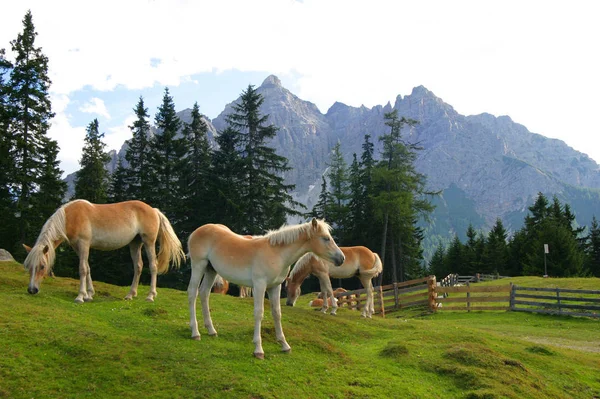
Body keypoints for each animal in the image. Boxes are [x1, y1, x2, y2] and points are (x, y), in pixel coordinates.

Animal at [22, 200, 185, 304]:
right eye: (28, 267)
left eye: (42, 266)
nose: (32, 290)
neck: (71, 216)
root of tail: (154, 210)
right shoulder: (78, 247)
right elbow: (87, 268)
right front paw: (89, 294)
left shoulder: (84, 244)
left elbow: (82, 269)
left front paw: (80, 297)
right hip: (135, 244)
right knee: (138, 266)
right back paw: (130, 295)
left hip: (148, 242)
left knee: (153, 266)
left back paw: (150, 296)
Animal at [188, 219, 346, 360]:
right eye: (326, 238)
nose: (341, 258)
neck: (277, 253)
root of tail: (198, 231)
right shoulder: (259, 285)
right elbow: (259, 313)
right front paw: (258, 350)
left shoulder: (274, 287)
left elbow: (277, 313)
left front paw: (284, 345)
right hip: (199, 265)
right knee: (192, 293)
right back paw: (195, 333)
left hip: (211, 270)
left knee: (204, 293)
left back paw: (211, 330)